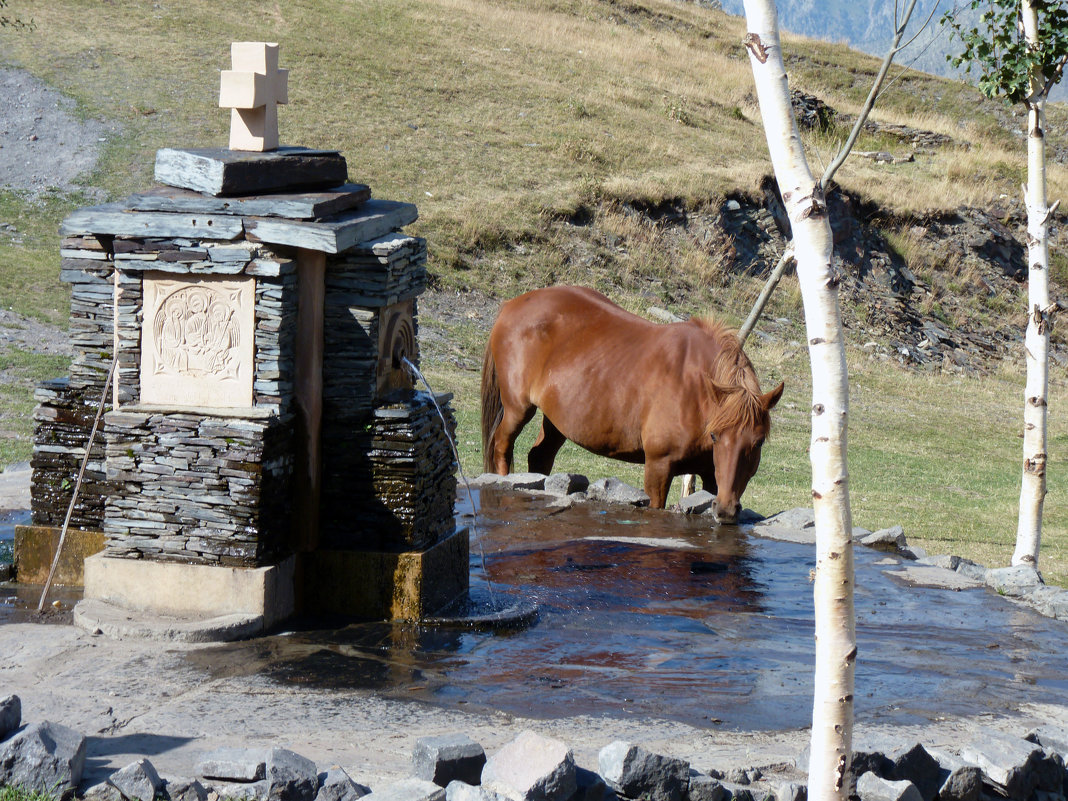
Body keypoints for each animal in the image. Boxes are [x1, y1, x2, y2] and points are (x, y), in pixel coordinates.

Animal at [480, 286, 781, 523]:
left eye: (757, 443)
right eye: (716, 436)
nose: (726, 511)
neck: (695, 388)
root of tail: (511, 305)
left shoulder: (711, 475)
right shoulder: (658, 466)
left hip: (556, 421)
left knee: (539, 457)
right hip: (518, 409)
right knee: (502, 446)